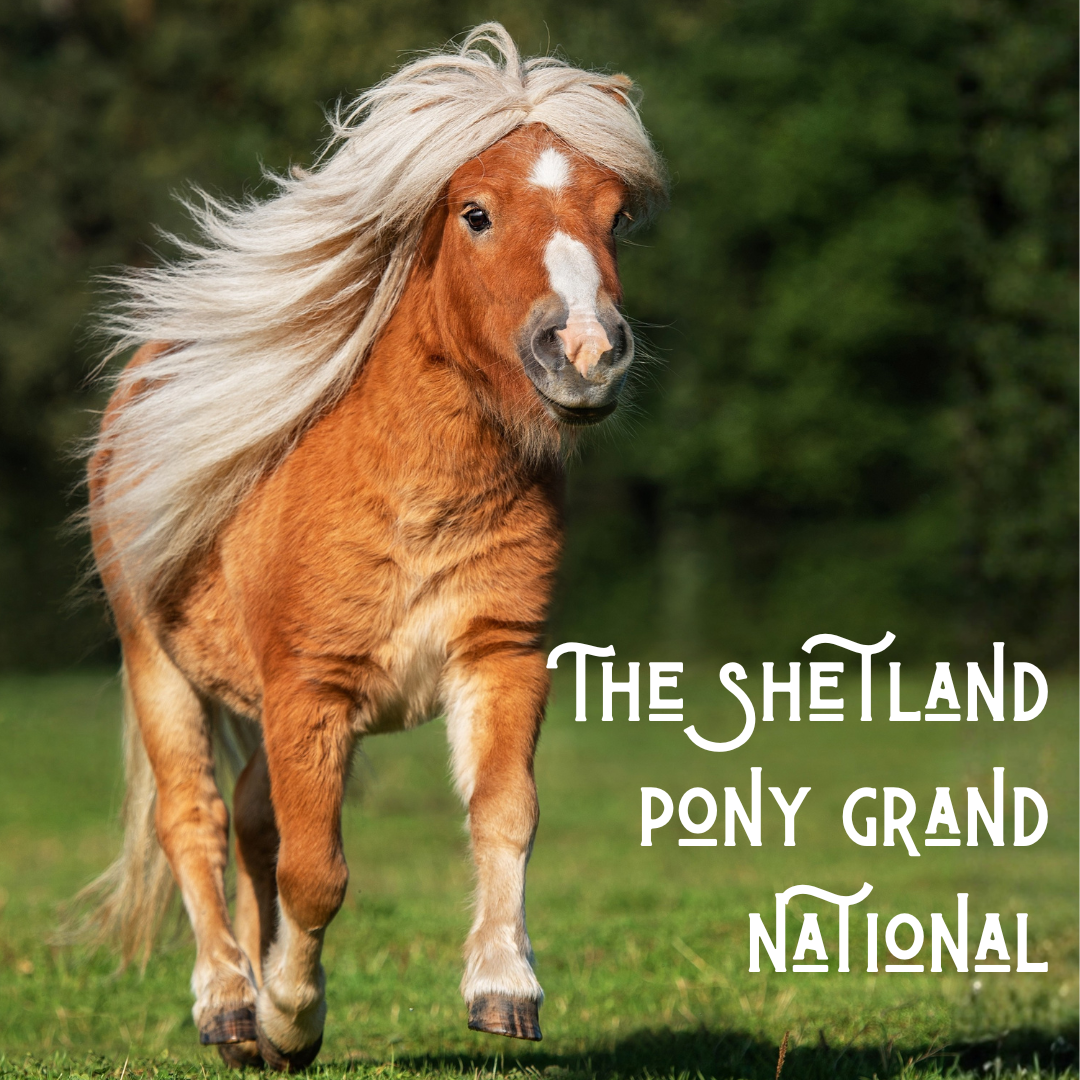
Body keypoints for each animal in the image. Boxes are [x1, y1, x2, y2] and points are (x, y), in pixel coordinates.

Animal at [84, 24, 666, 1070]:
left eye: (616, 218)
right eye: (475, 213)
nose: (588, 352)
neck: (413, 492)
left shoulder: (500, 656)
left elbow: (505, 814)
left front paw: (503, 987)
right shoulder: (310, 689)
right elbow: (317, 873)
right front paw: (289, 1016)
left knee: (250, 816)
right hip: (157, 663)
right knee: (192, 819)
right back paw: (229, 1005)